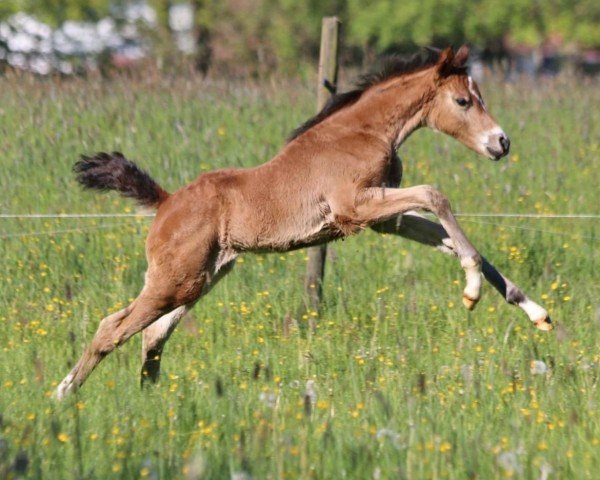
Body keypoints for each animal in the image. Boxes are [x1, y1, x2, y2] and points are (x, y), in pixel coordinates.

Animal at [56, 46, 552, 398]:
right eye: (464, 101)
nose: (502, 143)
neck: (360, 133)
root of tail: (164, 203)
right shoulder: (357, 207)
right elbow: (436, 196)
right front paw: (471, 290)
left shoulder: (383, 219)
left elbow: (447, 235)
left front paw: (534, 310)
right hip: (175, 281)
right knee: (112, 328)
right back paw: (63, 396)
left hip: (198, 280)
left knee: (151, 337)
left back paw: (149, 402)